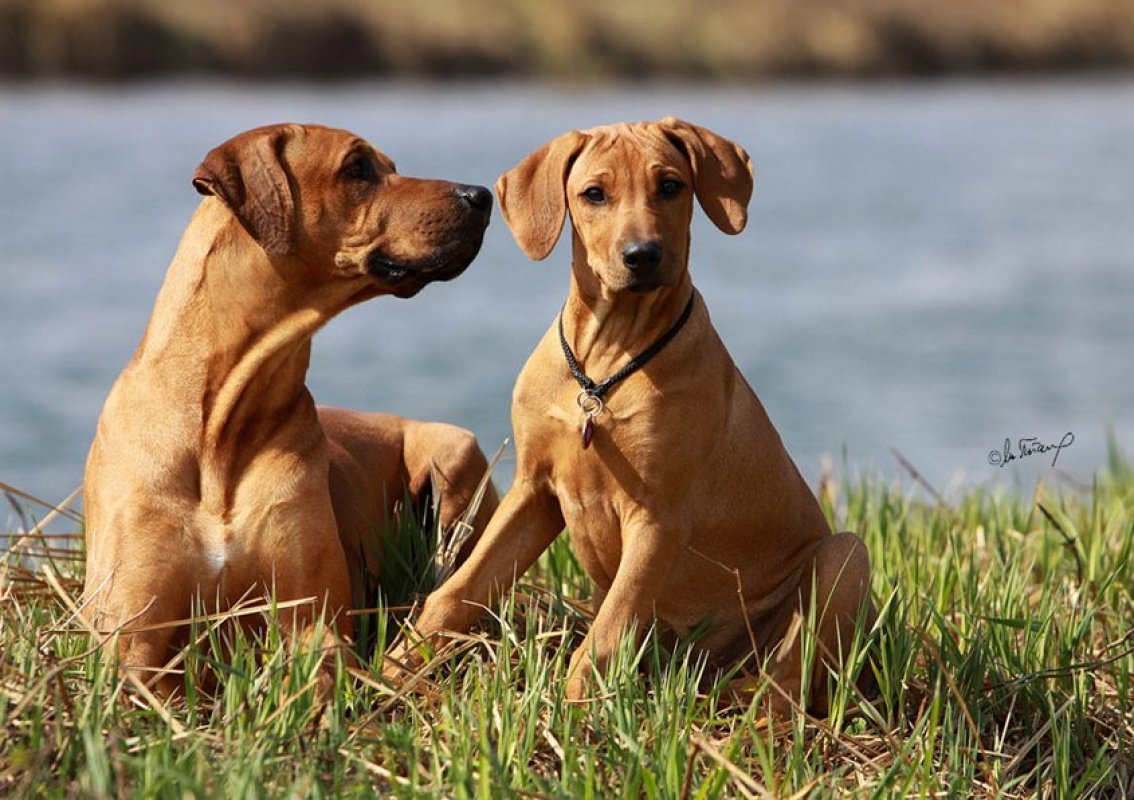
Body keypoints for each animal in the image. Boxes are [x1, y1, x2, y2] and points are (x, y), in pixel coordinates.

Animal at [82, 123, 498, 694]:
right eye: (358, 168)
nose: (482, 195)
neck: (219, 426)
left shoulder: (314, 624)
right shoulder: (128, 641)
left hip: (456, 453)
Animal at [385, 114, 870, 712]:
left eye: (670, 186)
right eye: (594, 194)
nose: (643, 254)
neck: (604, 365)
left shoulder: (658, 517)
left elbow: (605, 634)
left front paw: (572, 712)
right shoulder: (533, 490)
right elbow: (459, 590)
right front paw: (393, 668)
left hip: (844, 558)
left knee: (787, 681)